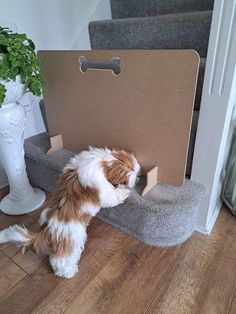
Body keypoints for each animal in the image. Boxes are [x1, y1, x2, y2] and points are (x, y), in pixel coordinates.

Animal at [0, 147, 140, 278]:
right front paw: (124, 191)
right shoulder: (104, 190)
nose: (138, 179)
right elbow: (113, 197)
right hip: (72, 241)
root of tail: (46, 231)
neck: (104, 161)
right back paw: (67, 272)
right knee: (60, 259)